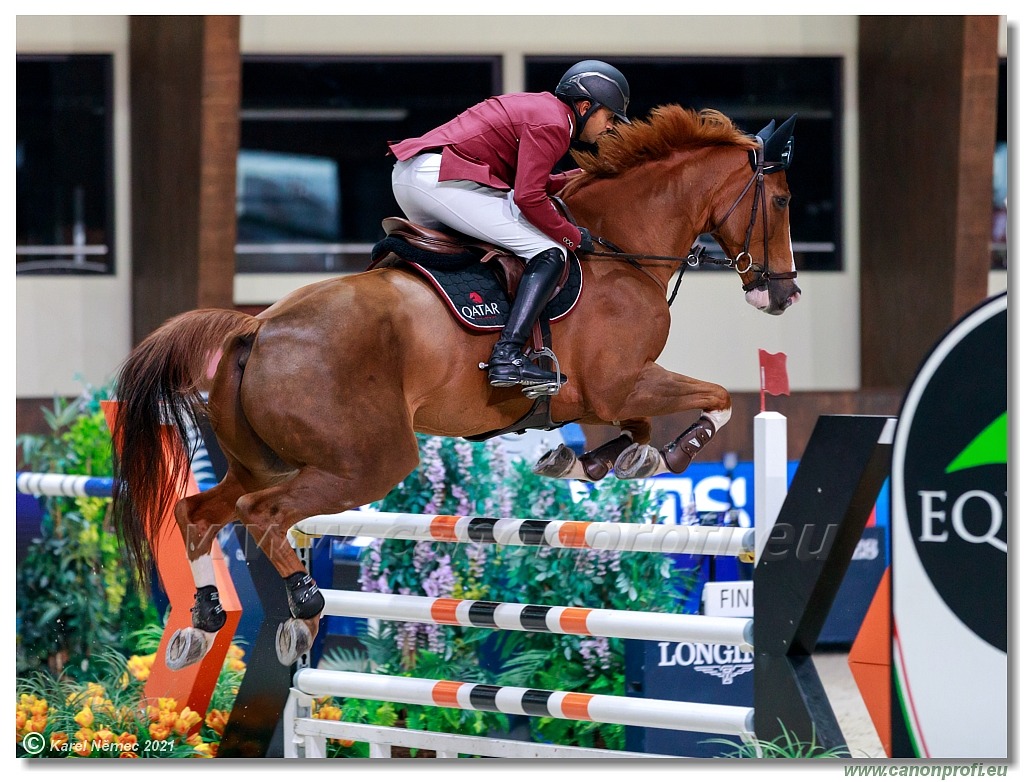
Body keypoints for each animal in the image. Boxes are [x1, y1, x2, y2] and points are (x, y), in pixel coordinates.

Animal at [110, 105, 798, 667]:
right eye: (783, 201)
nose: (783, 295)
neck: (621, 251)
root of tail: (257, 326)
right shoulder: (620, 384)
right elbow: (715, 400)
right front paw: (669, 453)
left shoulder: (605, 395)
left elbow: (634, 432)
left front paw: (593, 459)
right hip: (366, 461)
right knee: (264, 515)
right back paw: (302, 614)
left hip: (267, 461)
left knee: (198, 512)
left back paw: (201, 622)